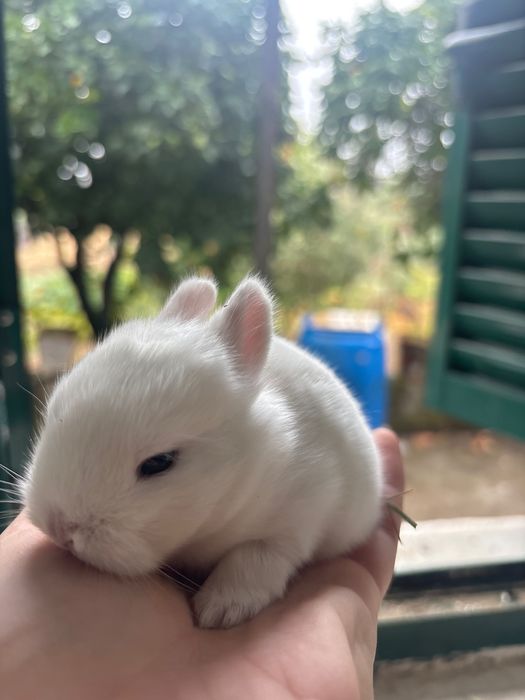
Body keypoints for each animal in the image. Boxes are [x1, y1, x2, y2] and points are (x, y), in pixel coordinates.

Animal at [22, 275, 382, 629]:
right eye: (55, 412)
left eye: (159, 462)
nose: (60, 528)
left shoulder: (299, 517)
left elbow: (255, 557)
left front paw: (221, 609)